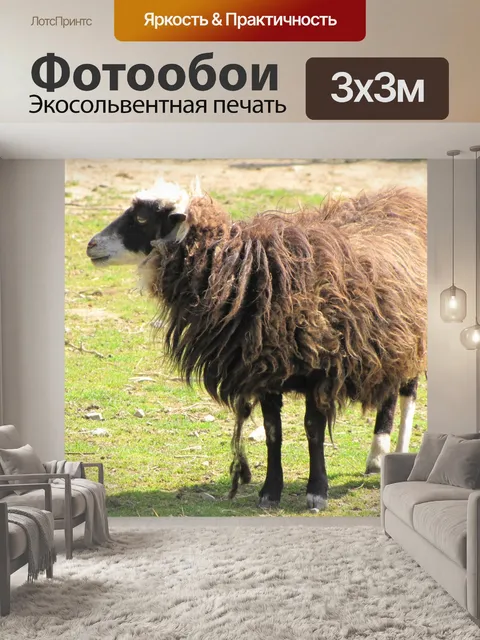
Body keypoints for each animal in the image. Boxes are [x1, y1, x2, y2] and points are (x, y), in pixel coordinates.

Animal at [87, 179, 426, 509]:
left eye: (143, 218)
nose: (91, 245)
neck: (243, 273)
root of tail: (405, 193)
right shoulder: (264, 371)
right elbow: (273, 432)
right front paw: (269, 493)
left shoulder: (319, 368)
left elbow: (313, 431)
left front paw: (317, 492)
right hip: (391, 341)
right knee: (389, 392)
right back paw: (377, 457)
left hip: (415, 340)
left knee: (407, 393)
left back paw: (395, 453)